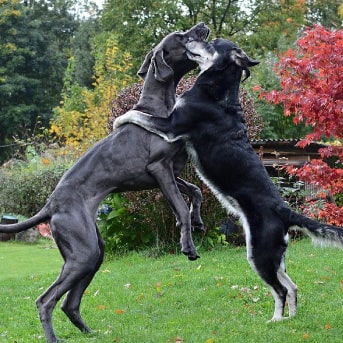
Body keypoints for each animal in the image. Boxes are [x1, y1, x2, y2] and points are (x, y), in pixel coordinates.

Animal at [115, 38, 343, 322]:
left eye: (211, 43)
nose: (189, 39)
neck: (218, 89)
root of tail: (284, 210)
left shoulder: (171, 124)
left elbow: (139, 116)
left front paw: (119, 119)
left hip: (259, 254)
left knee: (280, 290)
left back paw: (275, 321)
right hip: (275, 256)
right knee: (292, 287)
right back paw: (289, 318)